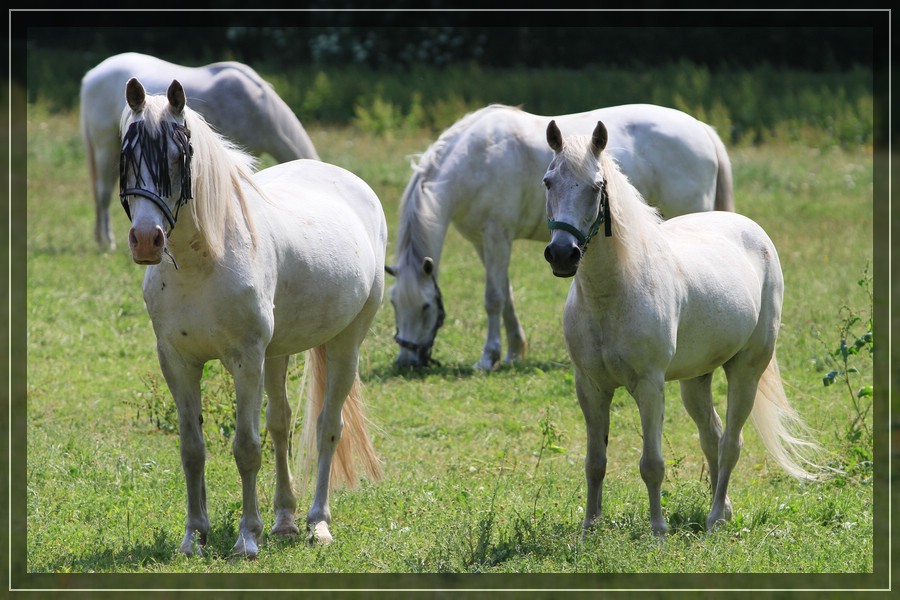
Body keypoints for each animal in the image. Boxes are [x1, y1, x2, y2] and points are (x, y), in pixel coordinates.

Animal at [116, 78, 384, 556]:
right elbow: (193, 449)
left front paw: (246, 537)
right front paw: (194, 536)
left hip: (344, 344)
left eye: (178, 157)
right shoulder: (178, 363)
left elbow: (245, 447)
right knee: (282, 425)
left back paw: (317, 523)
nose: (147, 240)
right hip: (276, 355)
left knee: (327, 427)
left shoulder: (245, 360)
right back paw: (285, 521)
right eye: (126, 156)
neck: (203, 261)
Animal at [384, 104, 736, 370]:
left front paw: (488, 358)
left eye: (426, 307)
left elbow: (493, 297)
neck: (474, 158)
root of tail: (703, 130)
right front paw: (513, 352)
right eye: (394, 304)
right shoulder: (482, 243)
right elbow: (507, 294)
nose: (406, 362)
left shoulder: (497, 236)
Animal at [536, 119, 828, 536]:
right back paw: (723, 509)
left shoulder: (649, 386)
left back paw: (714, 519)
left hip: (745, 371)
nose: (562, 254)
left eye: (596, 186)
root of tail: (752, 231)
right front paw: (590, 526)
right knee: (712, 437)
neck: (613, 294)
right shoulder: (590, 387)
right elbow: (595, 461)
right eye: (548, 182)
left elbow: (651, 465)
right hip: (695, 381)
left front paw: (658, 531)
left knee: (730, 444)